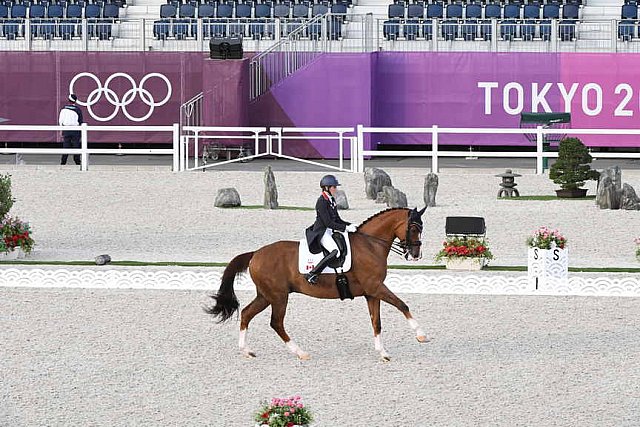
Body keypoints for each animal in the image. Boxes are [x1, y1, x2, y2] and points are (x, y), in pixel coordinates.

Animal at [202, 207, 428, 362]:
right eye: (413, 228)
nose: (416, 255)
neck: (370, 244)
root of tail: (255, 253)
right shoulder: (376, 287)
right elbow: (402, 305)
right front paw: (421, 335)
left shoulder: (371, 293)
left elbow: (376, 322)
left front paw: (383, 353)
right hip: (278, 297)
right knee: (276, 322)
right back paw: (300, 352)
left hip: (266, 295)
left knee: (247, 313)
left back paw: (246, 351)